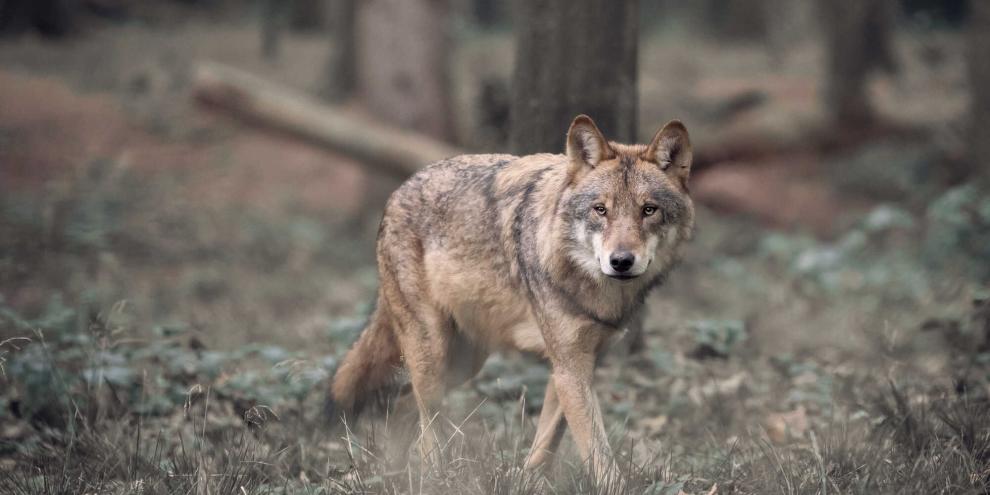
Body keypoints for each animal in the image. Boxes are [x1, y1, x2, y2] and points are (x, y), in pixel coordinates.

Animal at [328, 114, 695, 480]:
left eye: (649, 210)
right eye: (600, 210)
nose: (620, 261)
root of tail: (398, 190)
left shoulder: (575, 368)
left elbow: (547, 441)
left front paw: (527, 479)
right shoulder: (570, 367)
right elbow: (598, 452)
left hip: (463, 364)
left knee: (403, 405)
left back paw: (395, 470)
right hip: (434, 354)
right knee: (424, 421)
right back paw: (433, 477)